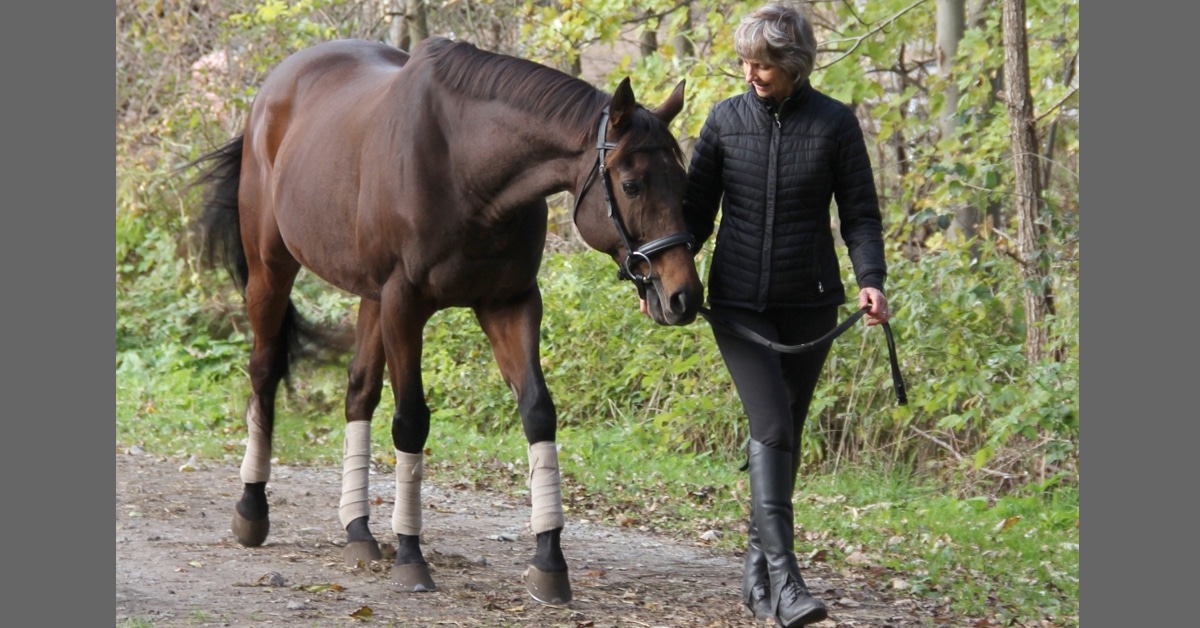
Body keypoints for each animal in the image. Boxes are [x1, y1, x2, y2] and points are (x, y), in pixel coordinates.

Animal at [190, 36, 703, 605]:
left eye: (683, 182)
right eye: (632, 185)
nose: (683, 295)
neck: (467, 165)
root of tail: (271, 92)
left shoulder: (510, 303)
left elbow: (537, 412)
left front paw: (549, 561)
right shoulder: (404, 305)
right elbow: (411, 421)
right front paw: (411, 555)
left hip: (370, 298)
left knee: (357, 393)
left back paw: (358, 530)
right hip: (272, 270)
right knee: (263, 373)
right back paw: (252, 509)